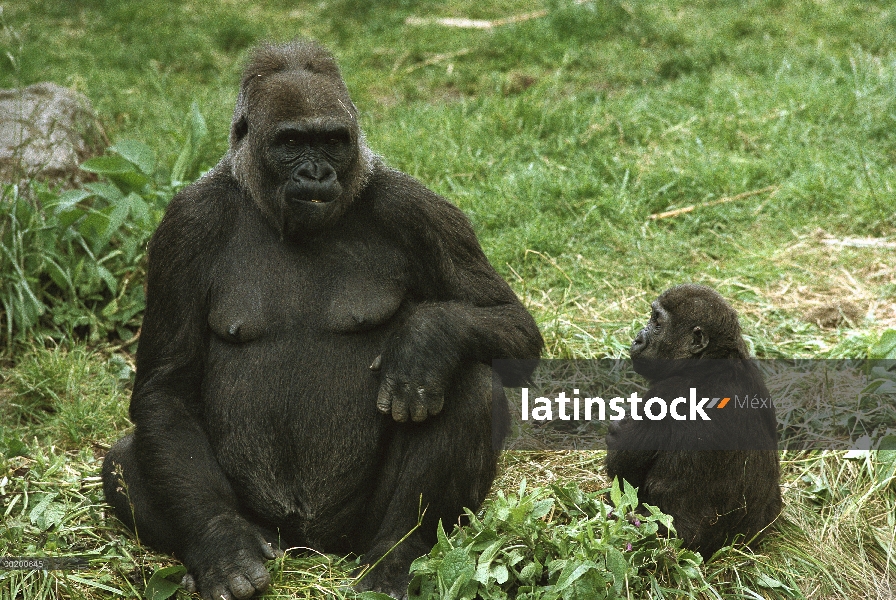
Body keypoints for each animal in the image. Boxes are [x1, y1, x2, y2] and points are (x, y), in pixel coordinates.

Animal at [101, 39, 544, 596]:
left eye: (333, 141)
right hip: (272, 531)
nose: (316, 174)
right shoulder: (185, 226)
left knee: (471, 382)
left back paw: (396, 553)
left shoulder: (417, 209)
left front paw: (426, 339)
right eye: (291, 142)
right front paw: (221, 544)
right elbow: (166, 391)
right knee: (123, 459)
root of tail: (312, 546)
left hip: (355, 533)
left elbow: (513, 327)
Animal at [604, 286, 780, 556]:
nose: (638, 338)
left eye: (657, 323)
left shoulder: (666, 393)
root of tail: (738, 544)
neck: (710, 360)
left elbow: (621, 465)